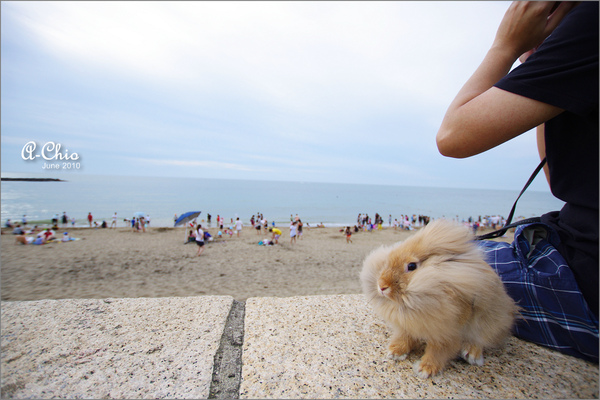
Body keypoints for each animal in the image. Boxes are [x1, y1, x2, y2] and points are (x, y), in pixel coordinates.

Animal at [358, 219, 516, 378]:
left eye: (411, 266)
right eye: (388, 260)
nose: (382, 286)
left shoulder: (446, 334)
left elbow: (437, 352)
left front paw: (425, 369)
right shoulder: (407, 326)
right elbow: (405, 337)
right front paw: (395, 352)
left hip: (491, 320)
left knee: (482, 338)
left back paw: (472, 354)